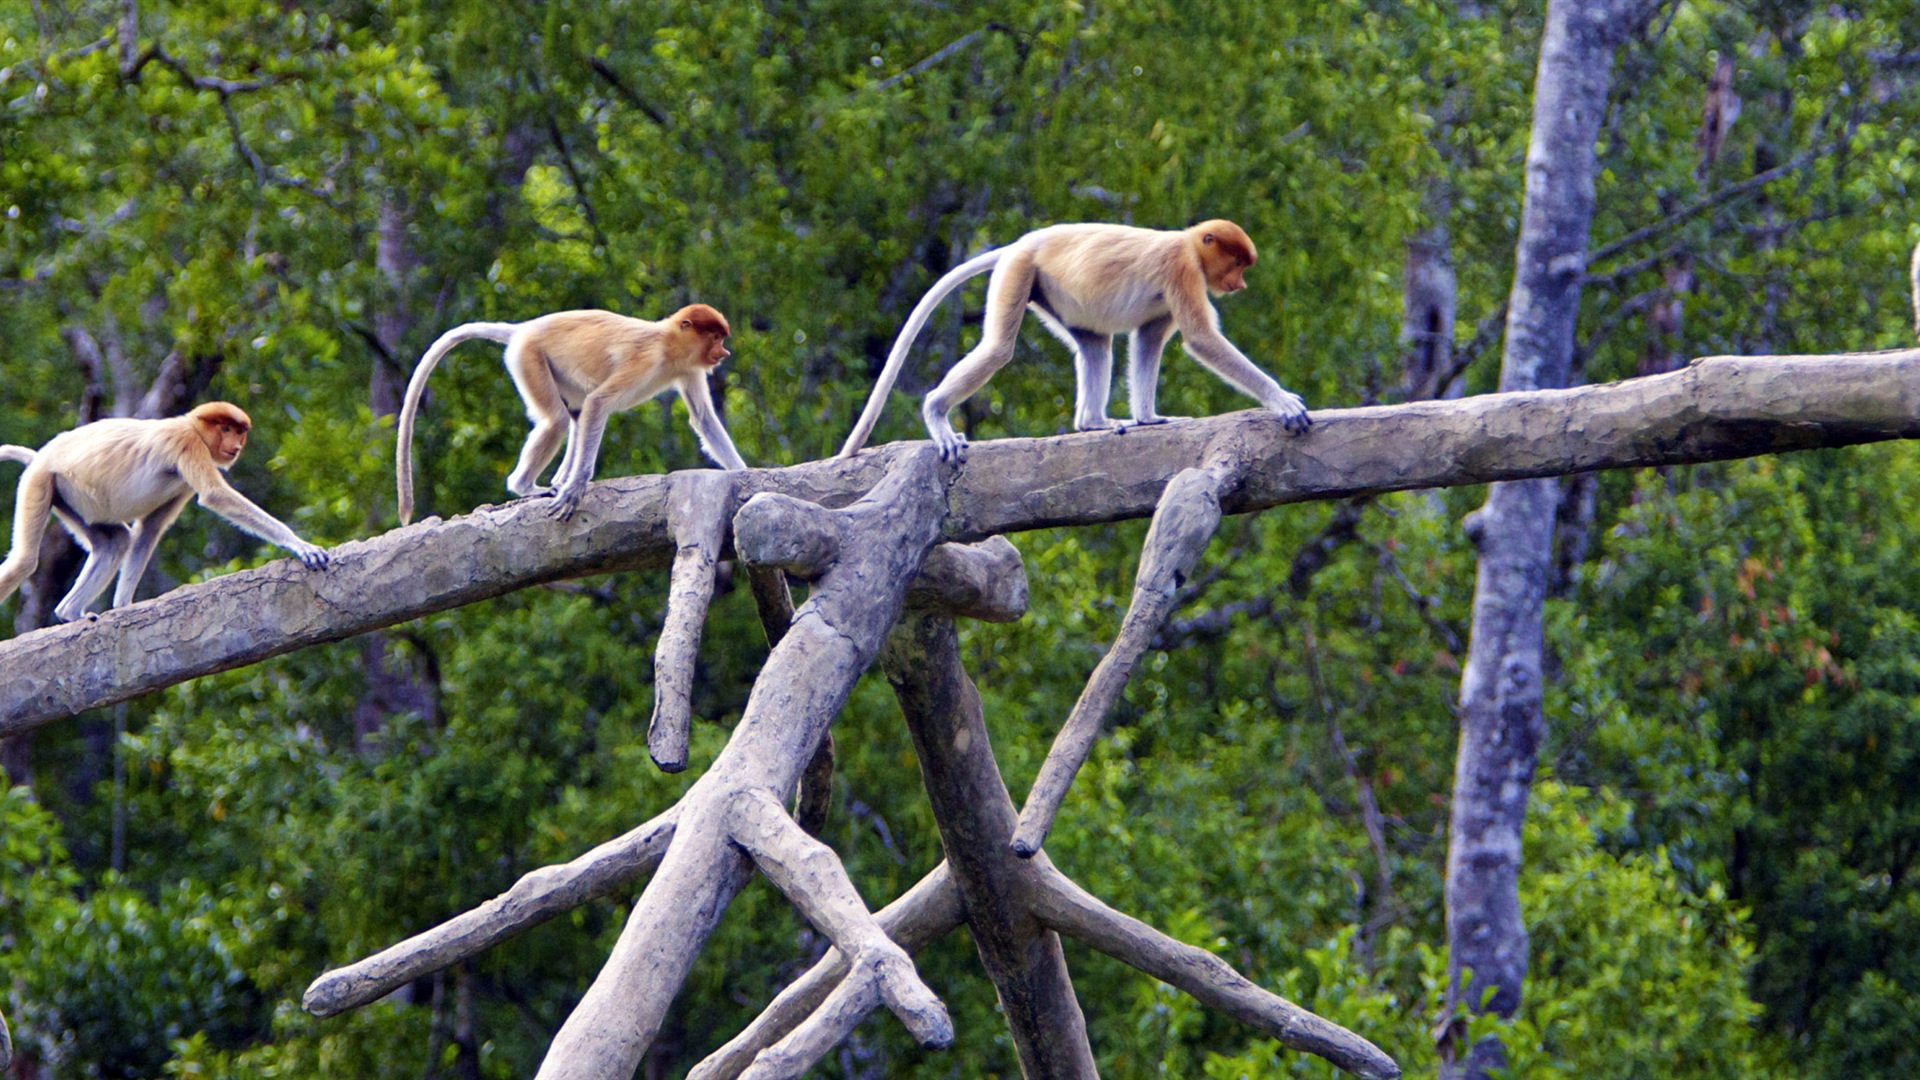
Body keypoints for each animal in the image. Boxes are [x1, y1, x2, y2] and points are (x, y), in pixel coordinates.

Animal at [0, 401, 330, 622]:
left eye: (239, 431)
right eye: (226, 428)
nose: (235, 446)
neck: (193, 425)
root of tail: (43, 457)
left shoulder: (183, 482)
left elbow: (150, 528)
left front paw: (123, 605)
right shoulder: (188, 444)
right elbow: (215, 495)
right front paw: (302, 546)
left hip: (70, 498)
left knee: (115, 542)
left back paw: (69, 612)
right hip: (40, 482)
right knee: (24, 562)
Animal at [395, 299, 741, 522]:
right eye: (715, 337)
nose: (724, 352)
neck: (669, 344)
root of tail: (524, 329)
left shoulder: (689, 368)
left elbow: (703, 418)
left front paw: (743, 472)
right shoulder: (647, 359)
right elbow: (599, 402)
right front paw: (576, 490)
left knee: (575, 415)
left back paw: (558, 479)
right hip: (528, 357)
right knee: (558, 420)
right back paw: (527, 485)